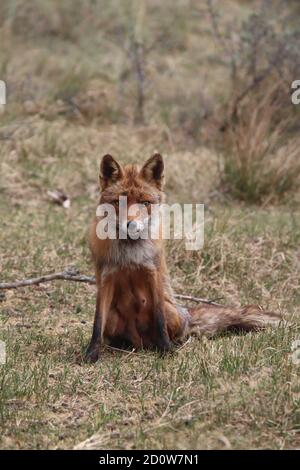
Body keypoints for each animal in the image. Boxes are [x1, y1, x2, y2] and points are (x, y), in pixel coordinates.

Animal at [85, 152, 282, 362]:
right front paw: (91, 353)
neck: (130, 254)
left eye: (145, 203)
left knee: (177, 332)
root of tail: (141, 344)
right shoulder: (105, 278)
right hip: (113, 317)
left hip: (171, 311)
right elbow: (97, 324)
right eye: (118, 202)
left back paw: (171, 344)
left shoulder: (153, 275)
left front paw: (167, 350)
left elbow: (160, 321)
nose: (131, 224)